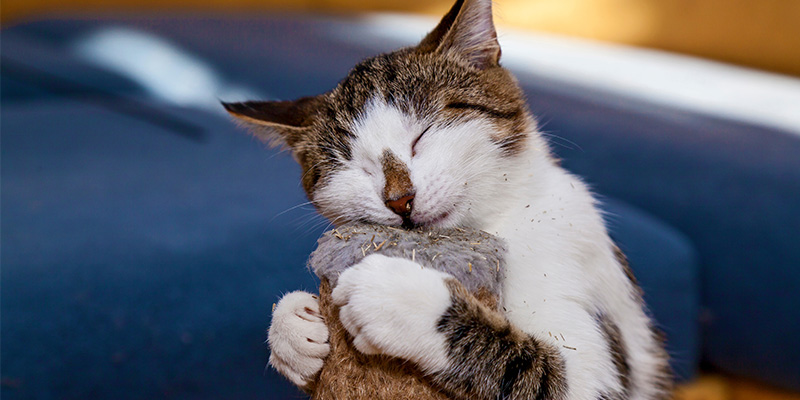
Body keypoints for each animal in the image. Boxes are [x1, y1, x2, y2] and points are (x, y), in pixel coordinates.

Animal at [222, 0, 672, 398]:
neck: (500, 222)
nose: (400, 199)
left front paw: (398, 297)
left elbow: (539, 368)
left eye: (423, 134)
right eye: (352, 165)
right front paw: (292, 328)